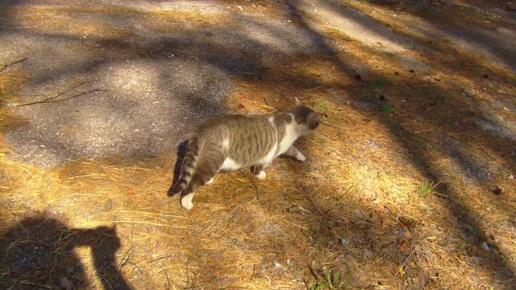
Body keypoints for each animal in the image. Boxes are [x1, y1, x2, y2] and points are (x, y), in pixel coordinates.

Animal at [167, 98, 318, 210]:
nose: (320, 123)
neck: (291, 119)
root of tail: (205, 127)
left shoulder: (284, 147)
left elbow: (294, 150)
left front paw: (302, 157)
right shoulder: (272, 152)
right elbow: (262, 166)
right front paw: (260, 175)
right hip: (213, 160)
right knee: (192, 183)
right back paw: (187, 203)